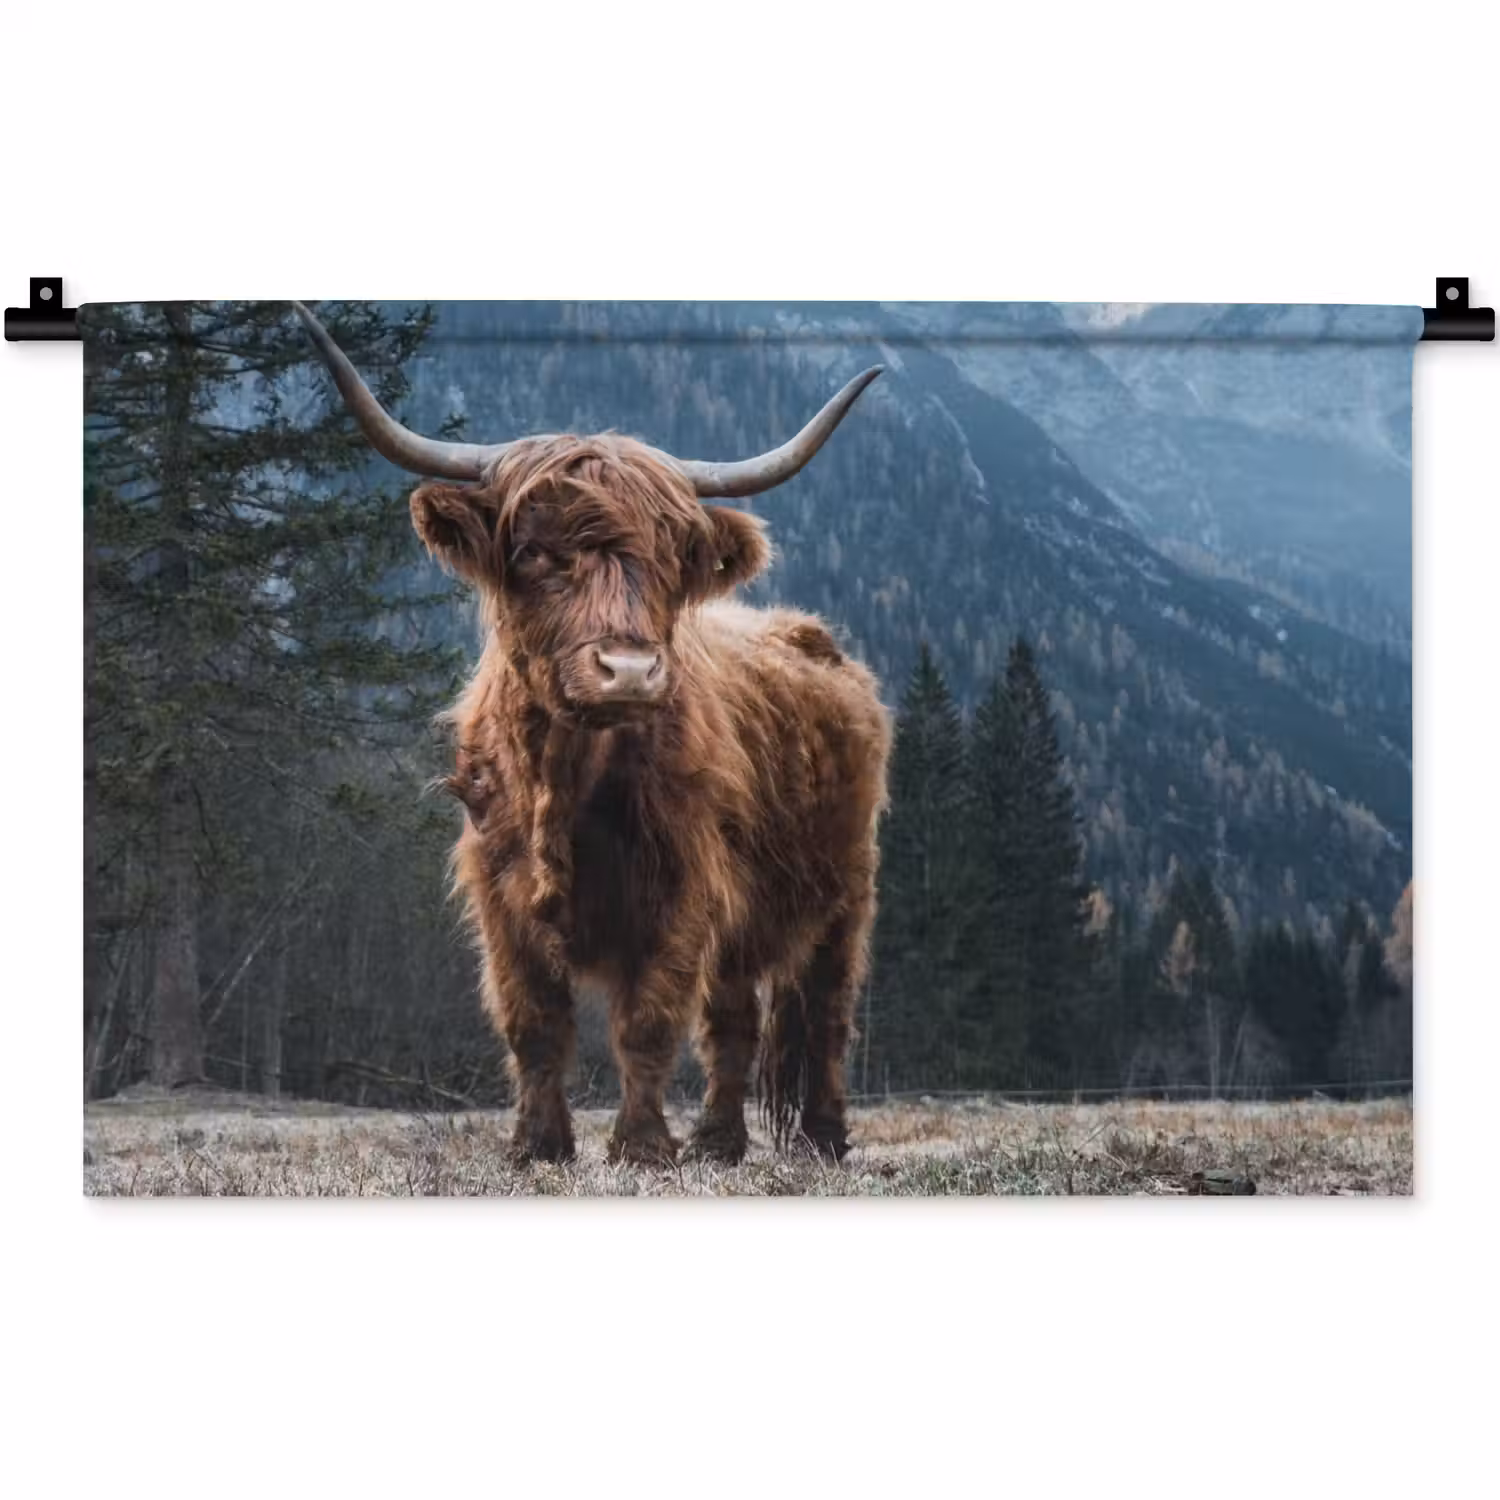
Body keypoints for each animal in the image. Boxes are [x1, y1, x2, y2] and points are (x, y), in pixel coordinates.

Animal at [294, 302, 890, 1166]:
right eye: (536, 553)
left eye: (672, 559)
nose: (630, 671)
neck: (565, 779)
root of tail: (812, 636)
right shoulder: (499, 895)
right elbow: (534, 1024)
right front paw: (537, 1145)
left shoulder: (681, 888)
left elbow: (648, 1023)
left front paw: (640, 1146)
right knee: (735, 1021)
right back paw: (718, 1142)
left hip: (847, 889)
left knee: (827, 1014)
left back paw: (824, 1138)